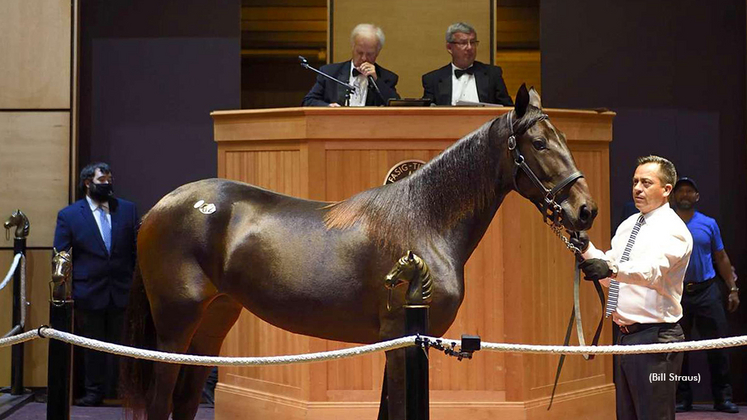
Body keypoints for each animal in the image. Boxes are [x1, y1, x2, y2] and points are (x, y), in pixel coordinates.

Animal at [120, 85, 598, 420]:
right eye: (539, 144)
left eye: (563, 138)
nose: (586, 210)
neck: (424, 221)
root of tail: (161, 207)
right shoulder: (405, 342)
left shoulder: (398, 343)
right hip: (174, 328)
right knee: (161, 403)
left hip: (211, 327)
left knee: (184, 401)